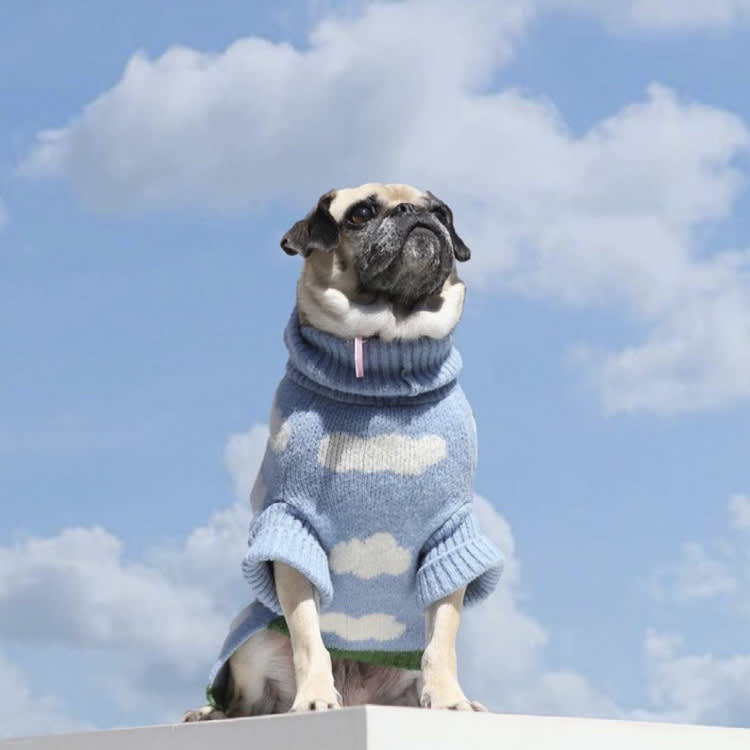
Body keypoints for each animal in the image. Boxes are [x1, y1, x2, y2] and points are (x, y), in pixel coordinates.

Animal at [184, 182, 506, 724]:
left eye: (441, 212)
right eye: (360, 214)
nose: (414, 213)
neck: (380, 374)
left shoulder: (451, 539)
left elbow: (441, 641)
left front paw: (449, 699)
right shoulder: (291, 533)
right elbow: (307, 636)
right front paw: (315, 697)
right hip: (251, 640)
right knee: (246, 701)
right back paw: (214, 713)